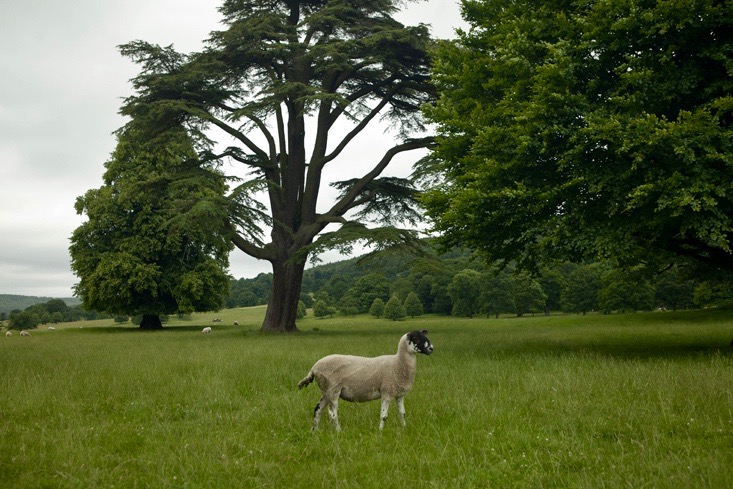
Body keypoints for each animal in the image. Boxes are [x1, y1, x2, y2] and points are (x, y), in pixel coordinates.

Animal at [298, 330, 434, 428]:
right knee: (332, 414)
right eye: (416, 339)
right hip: (333, 389)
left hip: (326, 391)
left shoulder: (399, 394)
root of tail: (314, 368)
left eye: (424, 336)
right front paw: (381, 432)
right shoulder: (387, 391)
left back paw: (315, 432)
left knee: (318, 410)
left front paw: (404, 429)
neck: (397, 363)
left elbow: (402, 414)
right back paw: (338, 431)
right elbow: (384, 415)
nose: (431, 348)